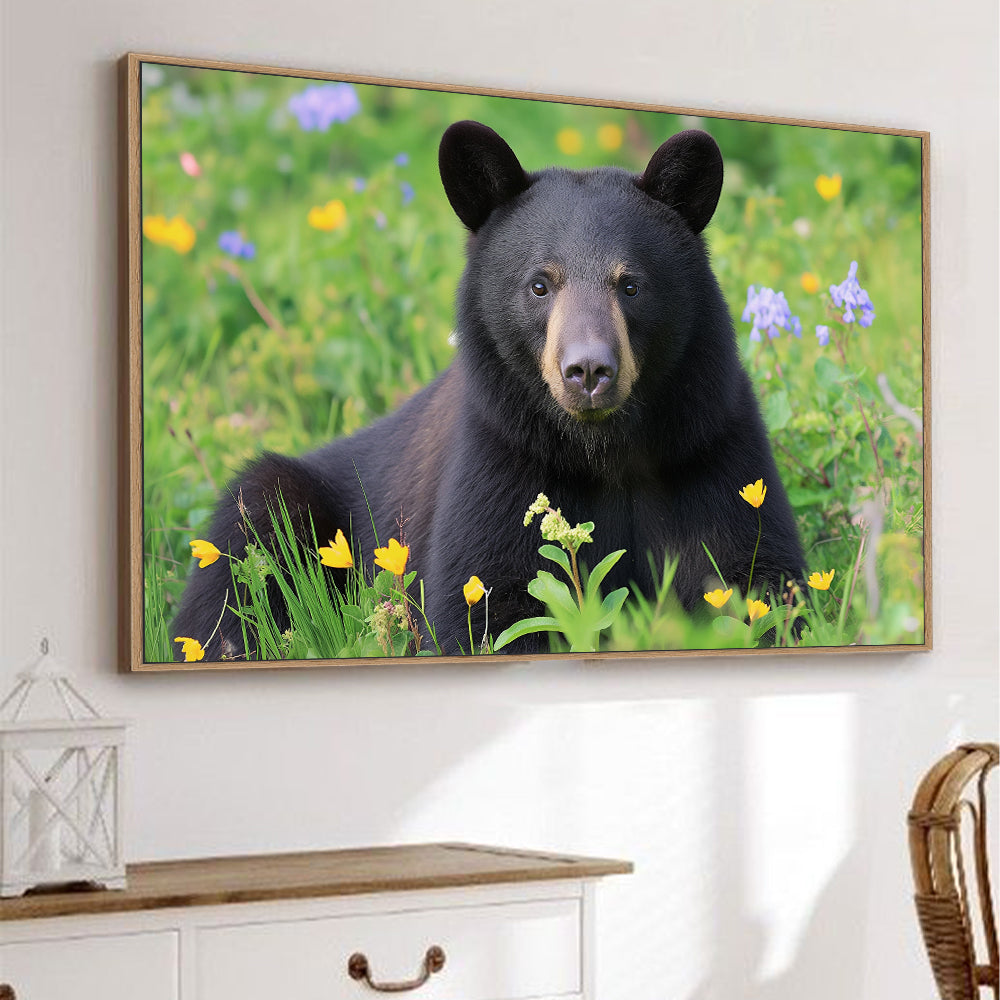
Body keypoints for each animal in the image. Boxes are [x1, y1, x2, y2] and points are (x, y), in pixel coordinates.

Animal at [169, 121, 804, 661]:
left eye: (631, 284)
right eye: (540, 284)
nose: (588, 371)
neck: (604, 453)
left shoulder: (708, 446)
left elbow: (752, 577)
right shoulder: (501, 457)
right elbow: (483, 604)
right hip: (274, 507)